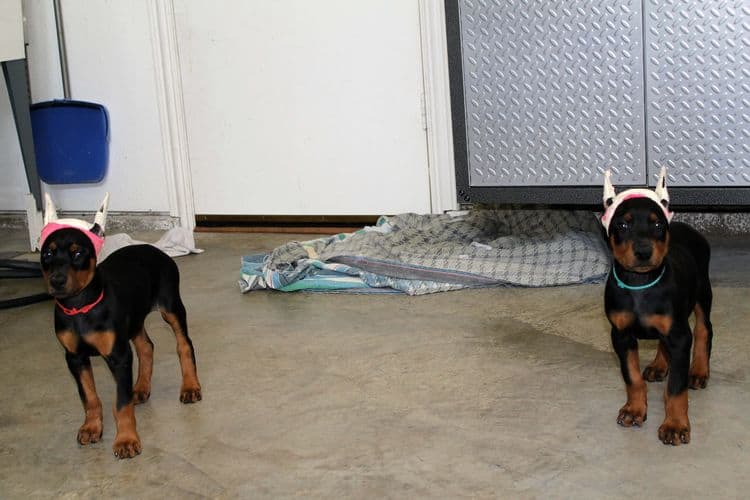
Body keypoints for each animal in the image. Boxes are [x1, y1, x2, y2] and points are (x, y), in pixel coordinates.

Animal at [38, 193, 203, 458]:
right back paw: (141, 387)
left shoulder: (118, 356)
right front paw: (91, 428)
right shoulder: (74, 358)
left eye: (78, 253)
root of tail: (153, 249)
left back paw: (189, 386)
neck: (80, 307)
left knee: (184, 344)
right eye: (48, 254)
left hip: (170, 307)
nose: (57, 281)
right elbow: (89, 397)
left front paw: (126, 440)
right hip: (134, 320)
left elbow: (121, 403)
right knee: (146, 347)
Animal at [604, 169, 712, 446]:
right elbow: (631, 377)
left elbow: (675, 388)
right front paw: (634, 409)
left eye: (657, 225)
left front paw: (675, 425)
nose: (643, 252)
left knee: (704, 329)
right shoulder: (621, 335)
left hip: (702, 293)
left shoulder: (679, 335)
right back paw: (659, 366)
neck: (640, 283)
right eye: (622, 225)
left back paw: (699, 371)